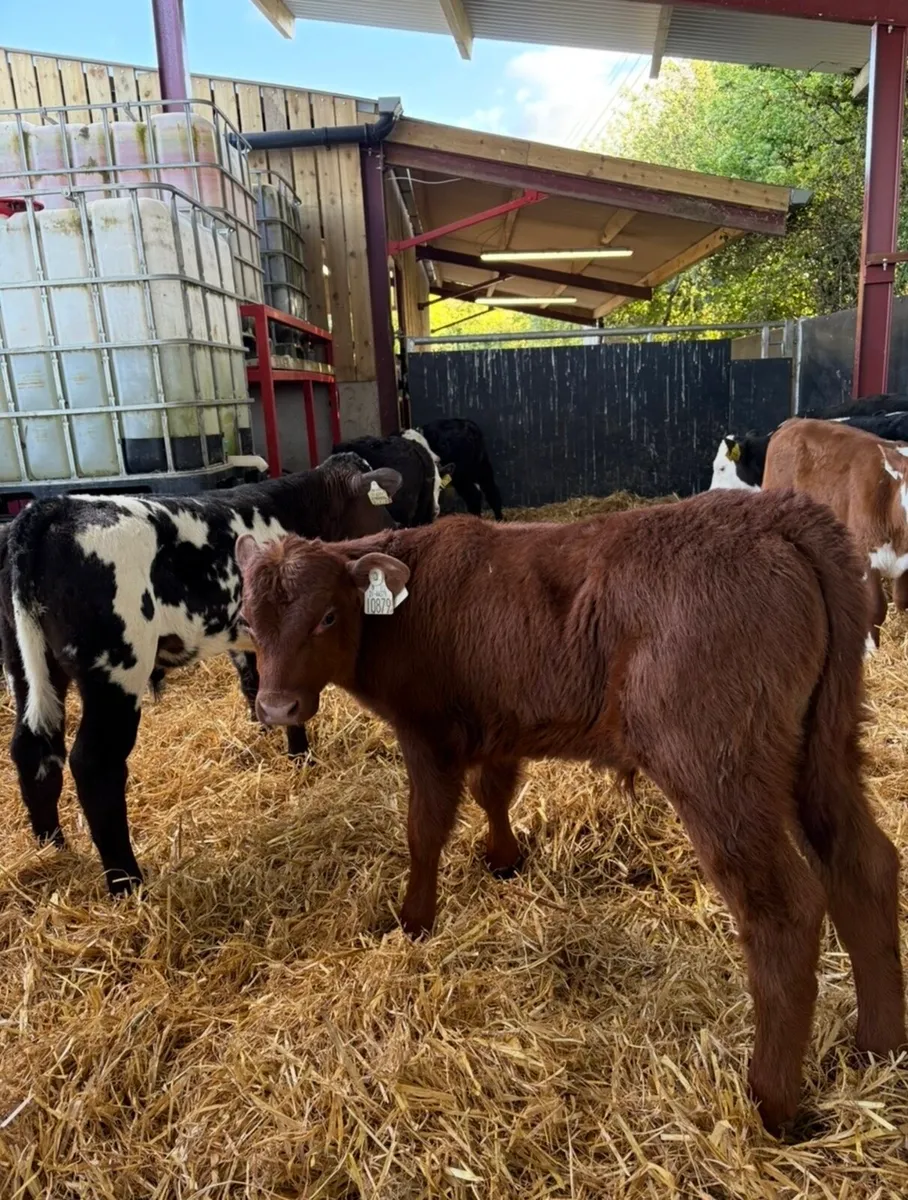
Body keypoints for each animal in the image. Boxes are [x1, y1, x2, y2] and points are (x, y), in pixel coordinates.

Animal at [0, 453, 403, 895]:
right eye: (380, 503)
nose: (398, 530)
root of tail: (52, 508)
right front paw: (302, 757)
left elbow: (258, 686)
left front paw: (282, 746)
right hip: (115, 669)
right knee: (93, 763)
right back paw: (126, 882)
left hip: (26, 663)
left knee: (32, 747)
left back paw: (50, 845)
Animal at [236, 489, 905, 1135]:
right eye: (247, 619)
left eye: (327, 616)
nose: (275, 707)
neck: (407, 603)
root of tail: (777, 514)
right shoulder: (498, 723)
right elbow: (494, 791)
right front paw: (504, 858)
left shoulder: (428, 733)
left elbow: (424, 830)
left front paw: (414, 922)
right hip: (824, 749)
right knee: (863, 865)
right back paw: (878, 1046)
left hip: (719, 771)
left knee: (783, 910)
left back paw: (771, 1103)